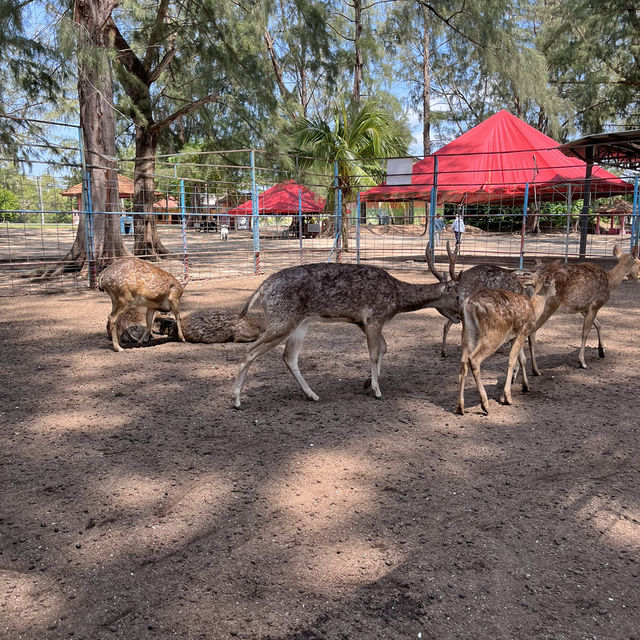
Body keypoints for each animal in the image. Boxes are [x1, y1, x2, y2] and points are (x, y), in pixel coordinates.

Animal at [232, 262, 462, 408]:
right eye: (458, 296)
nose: (460, 317)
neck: (397, 301)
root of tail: (262, 289)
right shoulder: (374, 318)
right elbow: (374, 353)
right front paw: (377, 390)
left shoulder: (362, 322)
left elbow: (384, 348)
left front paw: (367, 382)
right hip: (282, 321)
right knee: (249, 351)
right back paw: (236, 400)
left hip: (300, 324)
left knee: (289, 356)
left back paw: (312, 395)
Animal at [456, 274, 556, 416]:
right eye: (551, 281)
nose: (556, 289)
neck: (534, 309)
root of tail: (469, 304)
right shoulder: (523, 331)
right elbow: (512, 360)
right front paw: (507, 397)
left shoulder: (513, 337)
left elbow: (522, 359)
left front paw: (526, 386)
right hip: (495, 332)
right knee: (474, 359)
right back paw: (485, 404)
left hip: (467, 332)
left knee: (463, 362)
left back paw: (460, 407)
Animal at [528, 245, 636, 376]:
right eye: (638, 261)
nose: (638, 275)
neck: (610, 282)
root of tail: (535, 278)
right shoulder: (596, 304)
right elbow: (585, 332)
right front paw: (582, 362)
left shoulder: (583, 308)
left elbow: (598, 324)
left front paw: (601, 351)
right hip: (549, 305)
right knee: (532, 331)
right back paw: (535, 370)